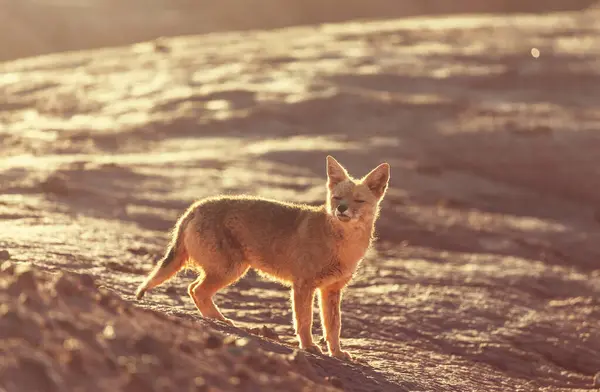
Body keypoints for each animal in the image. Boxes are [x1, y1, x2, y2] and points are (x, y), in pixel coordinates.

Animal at [135, 155, 390, 360]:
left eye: (359, 200)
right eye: (337, 198)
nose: (342, 209)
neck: (343, 245)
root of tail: (195, 207)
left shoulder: (331, 290)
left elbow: (333, 327)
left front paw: (336, 353)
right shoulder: (303, 285)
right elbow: (304, 321)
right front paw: (308, 347)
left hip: (227, 270)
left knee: (195, 288)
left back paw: (219, 320)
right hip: (231, 270)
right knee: (195, 289)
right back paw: (221, 321)